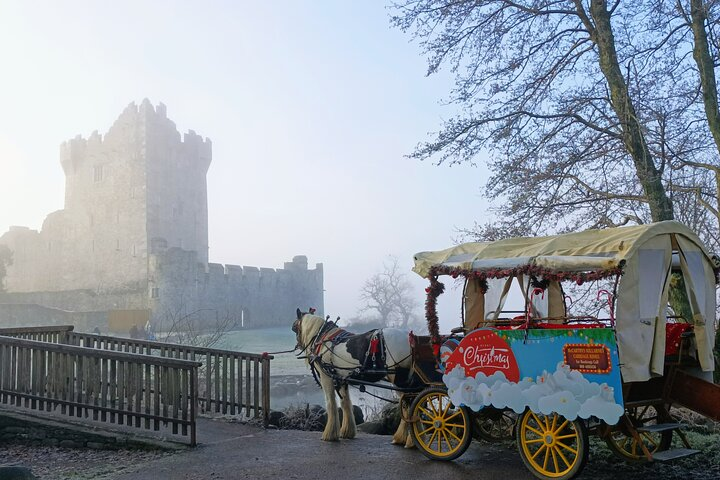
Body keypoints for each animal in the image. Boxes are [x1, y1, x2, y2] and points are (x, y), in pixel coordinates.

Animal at [292, 310, 414, 444]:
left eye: (295, 327)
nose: (297, 345)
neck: (323, 339)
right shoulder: (341, 379)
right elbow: (345, 403)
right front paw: (347, 432)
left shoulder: (326, 378)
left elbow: (331, 403)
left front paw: (329, 435)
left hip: (399, 381)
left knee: (408, 406)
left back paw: (403, 438)